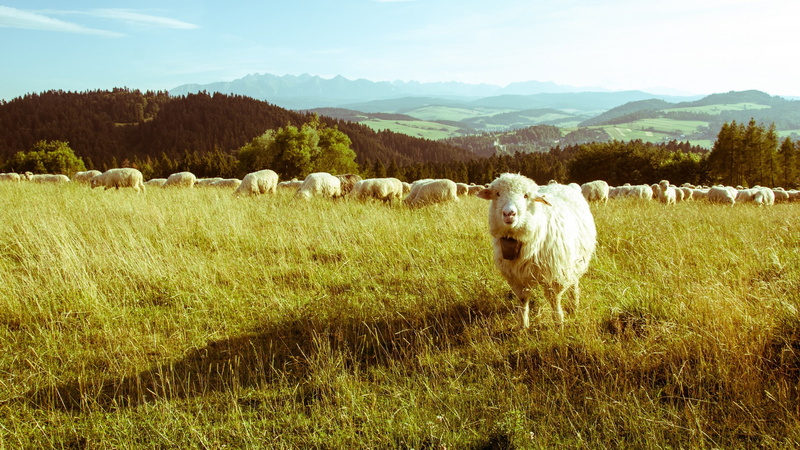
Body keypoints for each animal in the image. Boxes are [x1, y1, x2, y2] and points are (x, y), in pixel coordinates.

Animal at [478, 173, 597, 328]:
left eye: (526, 195)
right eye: (497, 194)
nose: (509, 213)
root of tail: (559, 185)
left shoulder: (555, 276)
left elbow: (554, 301)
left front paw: (559, 324)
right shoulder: (516, 277)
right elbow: (523, 300)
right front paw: (523, 325)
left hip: (575, 261)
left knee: (574, 283)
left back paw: (574, 304)